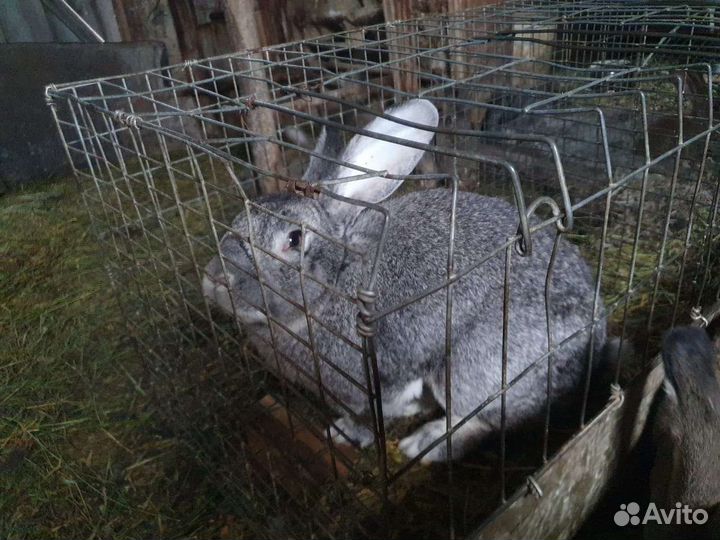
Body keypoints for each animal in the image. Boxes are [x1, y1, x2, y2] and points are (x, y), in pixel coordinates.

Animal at [202, 98, 607, 462]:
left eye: (293, 239)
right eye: (235, 222)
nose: (216, 277)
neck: (338, 278)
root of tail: (595, 339)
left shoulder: (381, 379)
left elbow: (377, 415)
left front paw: (351, 433)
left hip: (476, 366)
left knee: (477, 420)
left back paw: (423, 446)